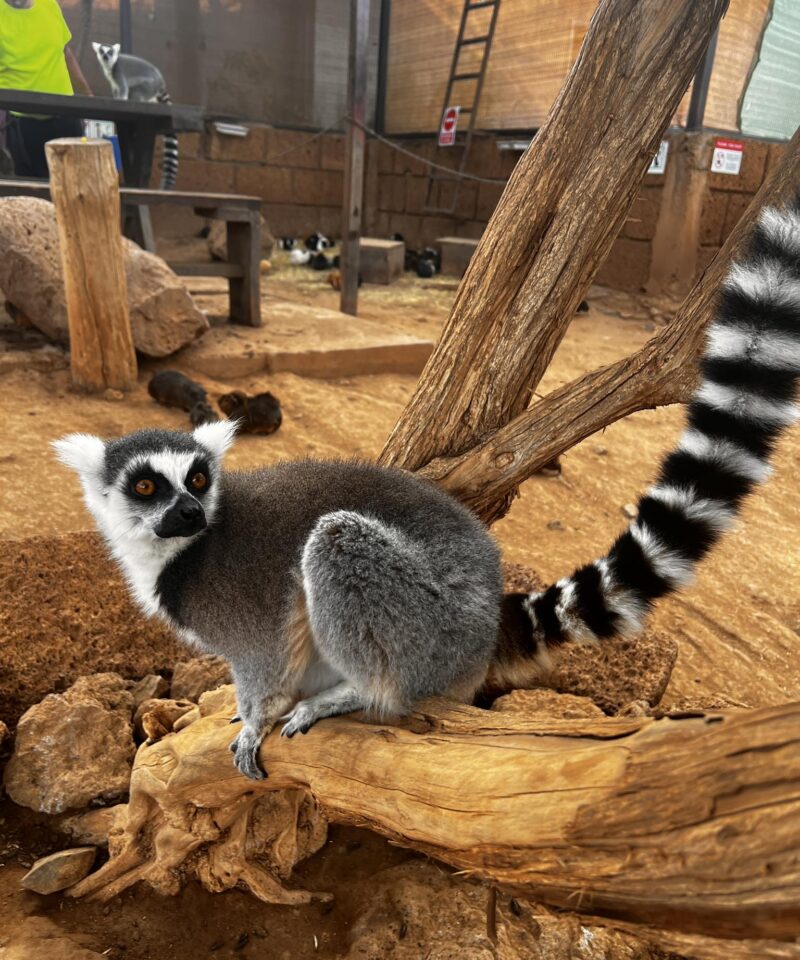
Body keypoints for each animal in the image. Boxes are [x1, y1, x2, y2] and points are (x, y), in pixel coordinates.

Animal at [54, 199, 800, 781]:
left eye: (198, 480)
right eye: (146, 485)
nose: (186, 510)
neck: (176, 554)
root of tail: (480, 628)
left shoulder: (243, 608)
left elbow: (262, 663)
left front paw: (252, 720)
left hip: (424, 627)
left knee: (340, 545)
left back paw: (354, 695)